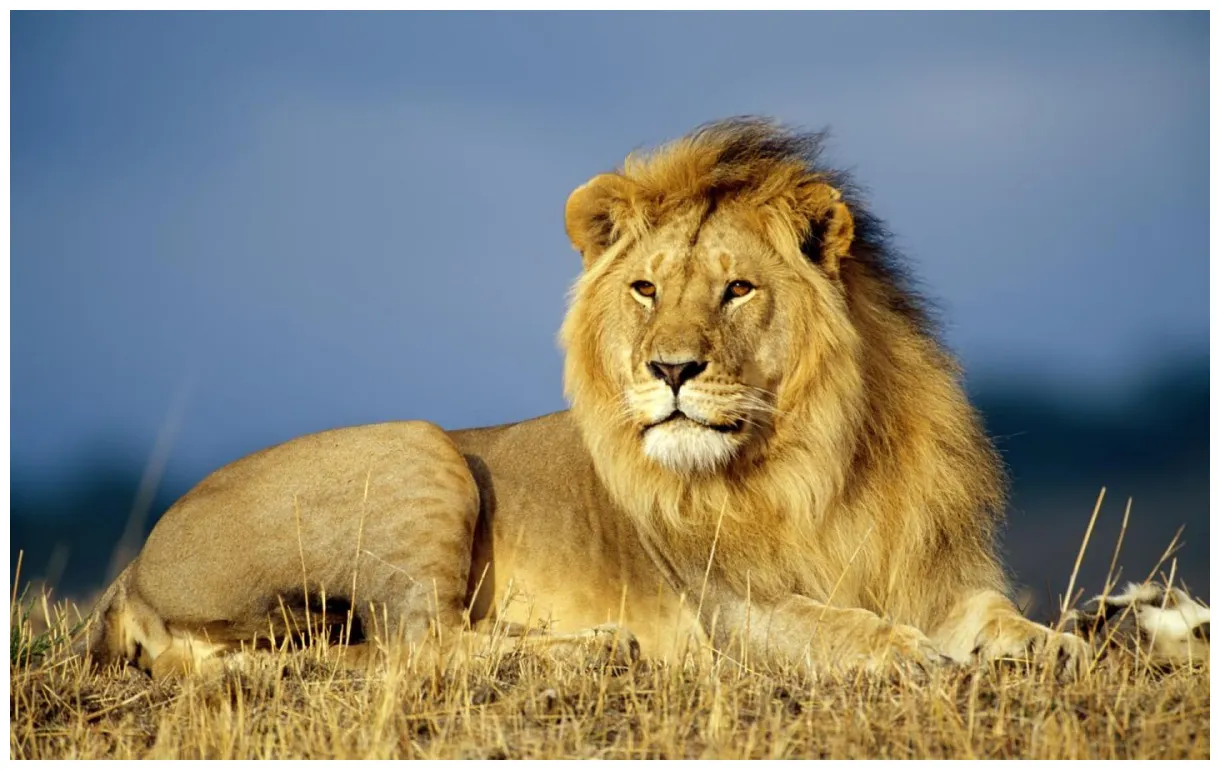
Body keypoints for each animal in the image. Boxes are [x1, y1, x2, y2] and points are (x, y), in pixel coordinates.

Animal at [74, 117, 1195, 680]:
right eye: (647, 288)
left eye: (736, 288)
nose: (670, 370)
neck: (818, 459)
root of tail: (131, 571)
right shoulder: (734, 610)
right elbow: (850, 632)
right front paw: (920, 660)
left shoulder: (939, 574)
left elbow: (1006, 622)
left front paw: (1076, 641)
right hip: (420, 449)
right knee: (417, 643)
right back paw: (595, 647)